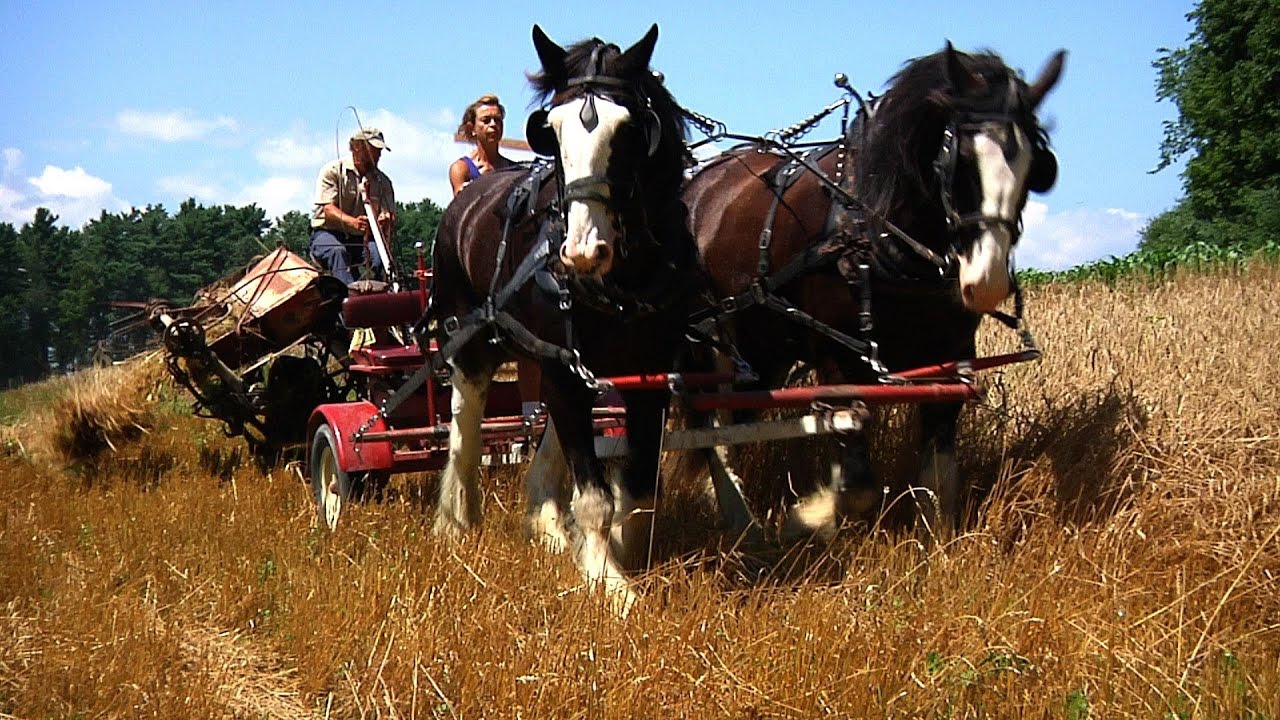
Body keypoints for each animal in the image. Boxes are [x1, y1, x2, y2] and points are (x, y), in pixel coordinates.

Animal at [426, 24, 696, 614]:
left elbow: (639, 486)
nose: (581, 251)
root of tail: (466, 202)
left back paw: (546, 524)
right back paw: (457, 519)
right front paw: (608, 582)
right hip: (473, 342)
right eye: (549, 128)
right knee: (464, 422)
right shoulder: (566, 369)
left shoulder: (648, 375)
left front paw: (617, 548)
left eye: (630, 128)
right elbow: (594, 495)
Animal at [683, 43, 1065, 538]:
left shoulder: (951, 359)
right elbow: (858, 486)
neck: (875, 228)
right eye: (958, 158)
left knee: (734, 421)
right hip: (712, 338)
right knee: (711, 427)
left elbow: (939, 476)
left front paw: (937, 544)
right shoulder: (837, 359)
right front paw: (801, 521)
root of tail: (702, 181)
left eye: (1038, 167)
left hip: (764, 346)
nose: (985, 281)